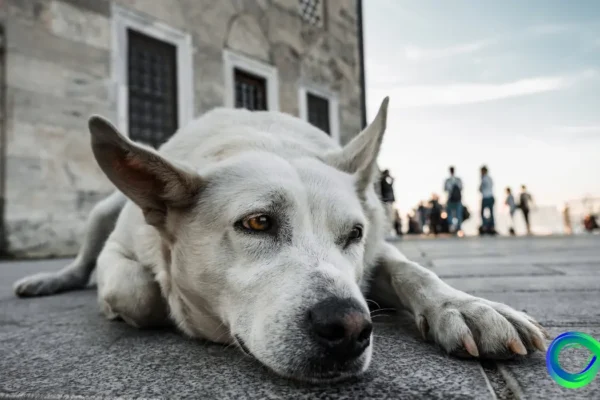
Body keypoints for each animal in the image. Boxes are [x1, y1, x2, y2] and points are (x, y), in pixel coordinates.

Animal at [14, 98, 548, 382]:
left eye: (354, 234)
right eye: (257, 224)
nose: (350, 327)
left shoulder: (377, 250)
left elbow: (412, 271)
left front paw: (469, 307)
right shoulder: (121, 252)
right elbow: (140, 292)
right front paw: (137, 308)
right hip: (102, 212)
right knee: (83, 263)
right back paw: (49, 281)